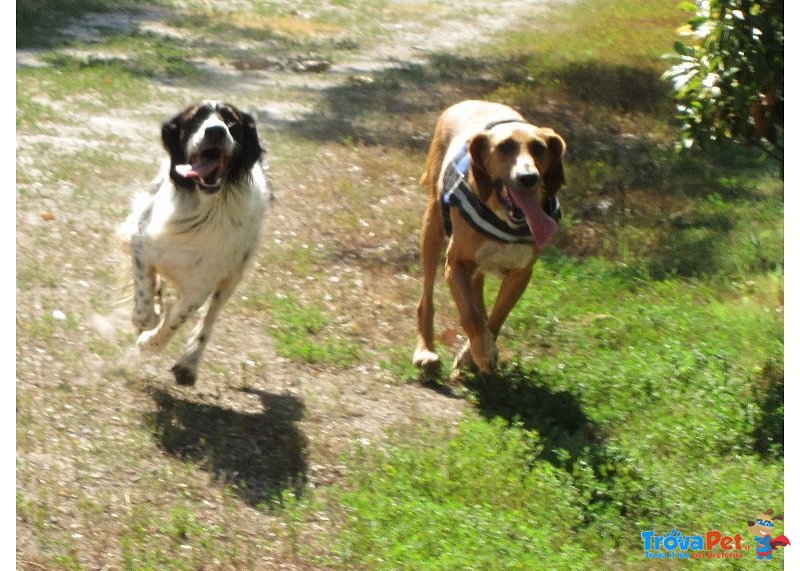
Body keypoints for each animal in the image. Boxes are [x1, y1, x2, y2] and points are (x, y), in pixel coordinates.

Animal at [119, 101, 268, 388]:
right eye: (195, 119)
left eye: (232, 122)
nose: (215, 131)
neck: (201, 208)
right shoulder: (141, 244)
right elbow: (145, 303)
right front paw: (149, 317)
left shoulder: (202, 285)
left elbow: (175, 321)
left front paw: (150, 342)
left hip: (233, 277)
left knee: (210, 319)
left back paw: (189, 364)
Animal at [416, 100, 564, 378]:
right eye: (505, 147)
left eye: (539, 148)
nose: (529, 177)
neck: (502, 218)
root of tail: (467, 102)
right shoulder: (456, 264)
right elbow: (470, 317)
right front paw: (482, 352)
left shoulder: (520, 273)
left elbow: (496, 318)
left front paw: (472, 354)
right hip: (432, 229)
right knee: (426, 300)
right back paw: (425, 352)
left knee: (478, 296)